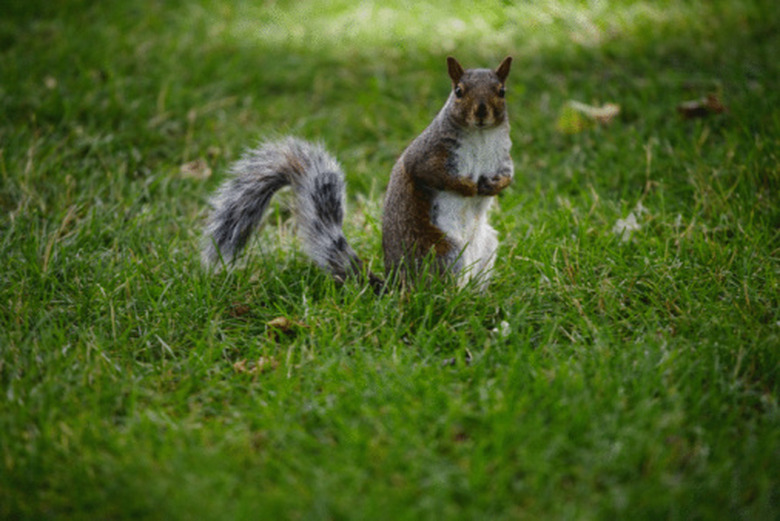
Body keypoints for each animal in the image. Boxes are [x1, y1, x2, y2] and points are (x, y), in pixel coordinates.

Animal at [204, 58, 516, 292]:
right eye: (458, 91)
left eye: (502, 91)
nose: (481, 112)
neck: (480, 137)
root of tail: (396, 286)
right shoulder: (428, 154)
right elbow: (432, 174)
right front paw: (468, 187)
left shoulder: (503, 158)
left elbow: (509, 174)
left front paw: (497, 186)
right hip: (441, 252)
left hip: (486, 246)